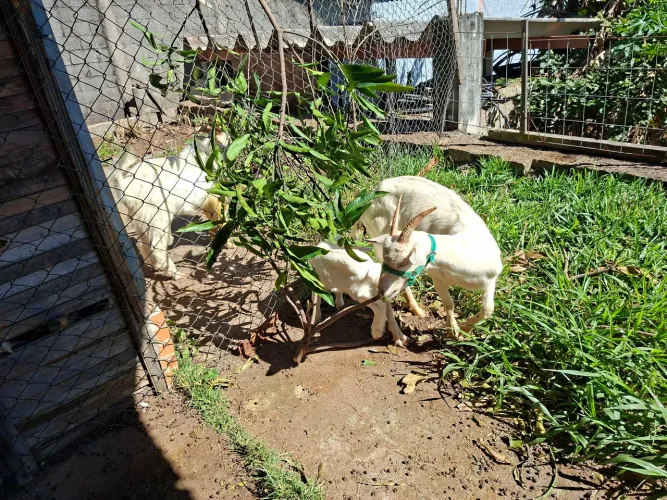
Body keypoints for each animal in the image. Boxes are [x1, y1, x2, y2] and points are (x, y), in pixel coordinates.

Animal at [104, 133, 230, 279]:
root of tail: (126, 186)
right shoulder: (214, 199)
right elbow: (222, 220)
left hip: (141, 220)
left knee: (144, 245)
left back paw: (155, 265)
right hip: (158, 218)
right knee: (157, 247)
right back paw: (175, 273)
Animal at [366, 196, 502, 338]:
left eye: (404, 262)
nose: (381, 291)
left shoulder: (490, 281)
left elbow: (488, 309)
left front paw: (464, 330)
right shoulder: (438, 279)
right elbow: (449, 304)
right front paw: (453, 330)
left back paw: (417, 311)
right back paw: (398, 334)